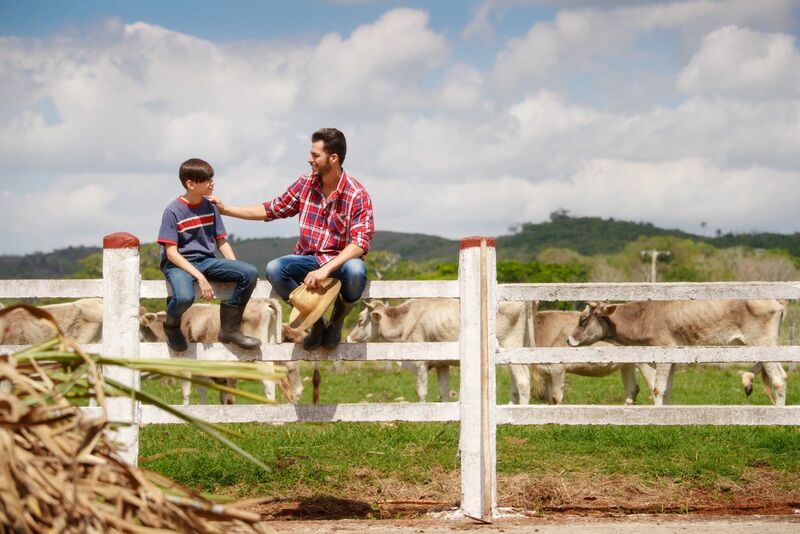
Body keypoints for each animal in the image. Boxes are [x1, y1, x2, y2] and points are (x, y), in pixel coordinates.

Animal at [139, 302, 302, 406]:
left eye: (139, 325)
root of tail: (265, 303)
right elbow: (204, 391)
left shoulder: (186, 366)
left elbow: (186, 392)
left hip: (261, 359)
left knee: (269, 382)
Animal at [346, 300, 536, 404]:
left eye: (360, 320)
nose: (348, 338)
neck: (404, 321)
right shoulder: (441, 364)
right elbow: (443, 391)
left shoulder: (420, 362)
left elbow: (421, 391)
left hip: (510, 345)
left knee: (523, 380)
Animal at [512, 310, 648, 406]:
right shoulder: (546, 373)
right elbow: (550, 399)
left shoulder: (557, 368)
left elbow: (556, 398)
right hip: (627, 364)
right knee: (632, 389)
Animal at [568, 302, 788, 406]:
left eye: (583, 319)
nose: (569, 340)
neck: (644, 317)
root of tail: (777, 303)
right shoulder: (672, 360)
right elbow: (666, 390)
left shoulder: (663, 354)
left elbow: (657, 389)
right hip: (765, 344)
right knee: (783, 375)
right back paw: (748, 381)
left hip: (762, 343)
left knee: (777, 380)